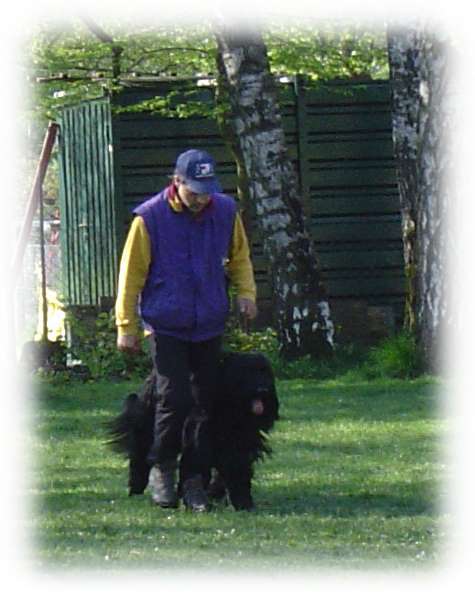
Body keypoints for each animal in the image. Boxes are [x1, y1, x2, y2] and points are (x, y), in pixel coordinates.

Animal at [107, 354, 278, 512]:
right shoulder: (200, 434)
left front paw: (241, 501)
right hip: (147, 427)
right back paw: (137, 489)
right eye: (246, 372)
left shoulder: (240, 443)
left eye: (266, 372)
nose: (263, 390)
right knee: (140, 456)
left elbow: (237, 469)